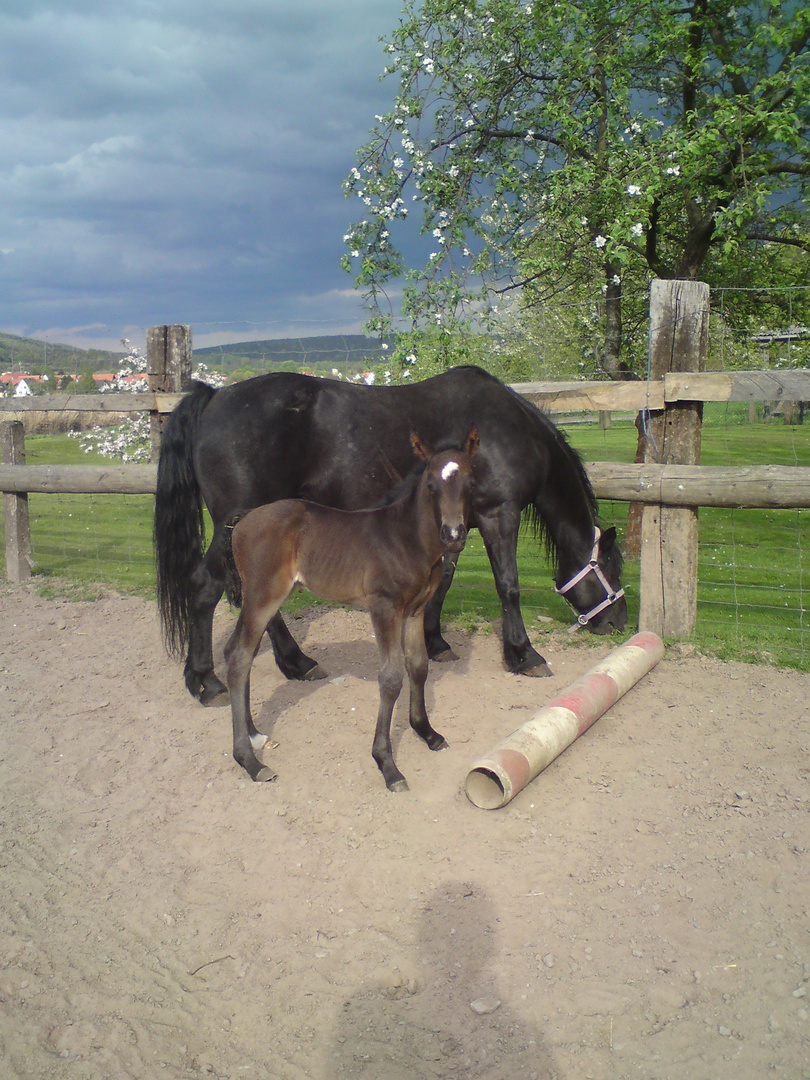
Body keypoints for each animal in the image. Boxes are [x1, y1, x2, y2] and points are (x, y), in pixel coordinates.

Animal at [156, 362, 626, 704]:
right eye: (613, 568)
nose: (618, 623)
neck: (506, 431)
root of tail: (215, 396)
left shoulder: (453, 527)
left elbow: (443, 583)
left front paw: (435, 642)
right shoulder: (499, 516)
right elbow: (507, 586)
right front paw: (523, 654)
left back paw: (296, 663)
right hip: (236, 526)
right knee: (205, 587)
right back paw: (206, 680)